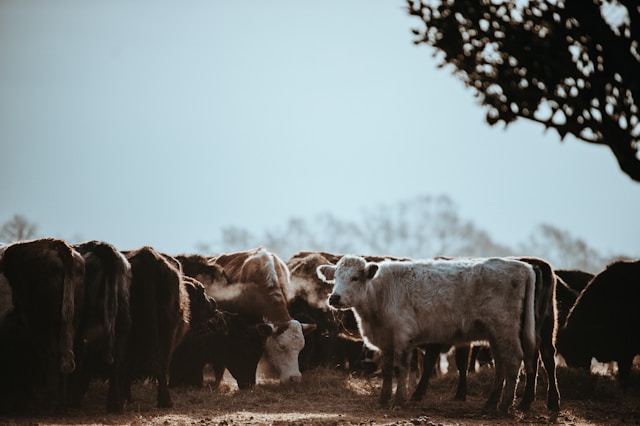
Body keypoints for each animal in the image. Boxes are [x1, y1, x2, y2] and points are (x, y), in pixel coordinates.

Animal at [318, 255, 536, 412]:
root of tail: (521, 266)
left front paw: (399, 401)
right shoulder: (386, 340)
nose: (334, 297)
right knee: (501, 364)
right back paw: (490, 404)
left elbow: (401, 368)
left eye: (354, 278)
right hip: (495, 334)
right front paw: (383, 399)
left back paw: (505, 406)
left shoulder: (402, 335)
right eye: (334, 278)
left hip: (505, 328)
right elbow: (387, 369)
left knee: (514, 360)